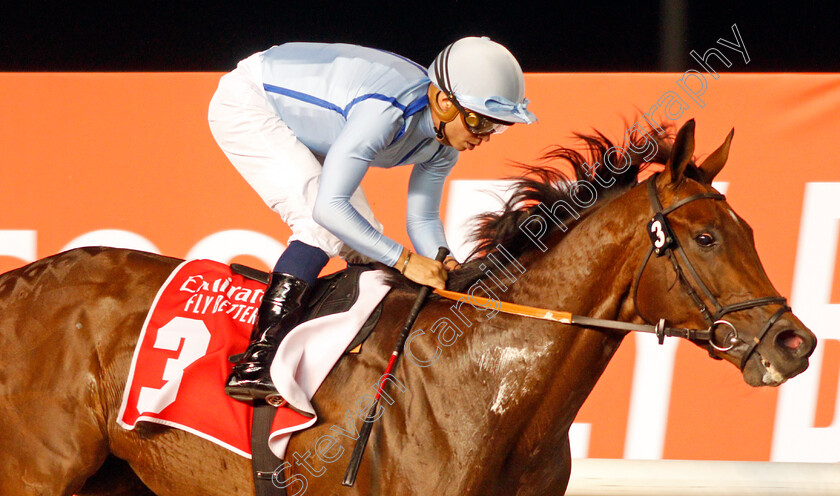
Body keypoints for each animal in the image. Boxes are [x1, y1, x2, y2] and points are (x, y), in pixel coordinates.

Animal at [0, 118, 812, 494]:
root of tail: (23, 279)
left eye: (749, 229)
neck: (488, 389)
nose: (794, 343)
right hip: (36, 472)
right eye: (705, 236)